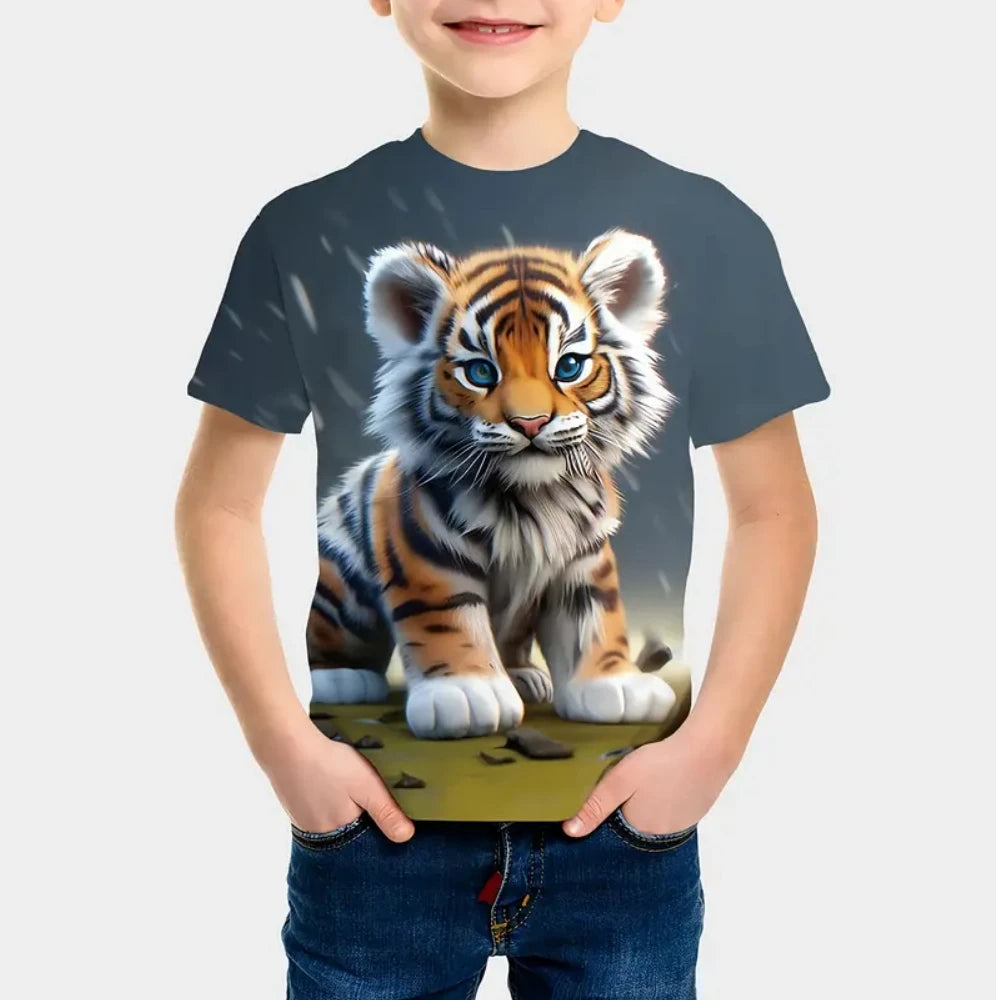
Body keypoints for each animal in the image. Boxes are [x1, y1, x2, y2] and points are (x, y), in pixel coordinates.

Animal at [307, 229, 678, 739]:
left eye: (569, 366)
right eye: (481, 372)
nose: (531, 423)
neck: (535, 497)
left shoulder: (583, 559)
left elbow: (595, 616)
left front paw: (616, 685)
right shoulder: (428, 553)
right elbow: (448, 619)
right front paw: (465, 694)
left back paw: (524, 677)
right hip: (338, 584)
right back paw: (339, 679)